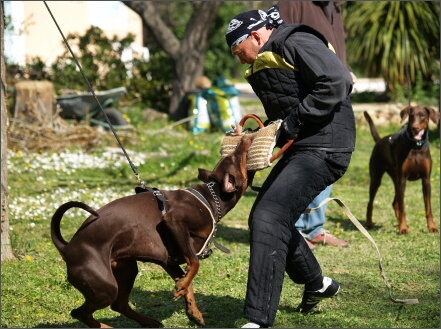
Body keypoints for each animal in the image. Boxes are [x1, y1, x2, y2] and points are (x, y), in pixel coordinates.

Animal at [51, 135, 251, 326]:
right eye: (234, 157)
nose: (246, 135)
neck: (211, 196)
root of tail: (67, 247)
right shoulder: (174, 223)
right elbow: (195, 264)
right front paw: (181, 289)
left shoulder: (168, 259)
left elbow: (188, 280)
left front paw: (193, 311)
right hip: (105, 287)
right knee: (80, 313)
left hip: (126, 269)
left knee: (118, 305)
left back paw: (149, 321)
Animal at [362, 105, 438, 233]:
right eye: (411, 116)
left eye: (422, 116)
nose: (415, 127)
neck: (416, 146)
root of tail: (379, 140)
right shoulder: (403, 180)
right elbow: (403, 207)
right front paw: (403, 229)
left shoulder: (426, 179)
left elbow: (428, 207)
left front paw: (432, 227)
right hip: (377, 178)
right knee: (370, 202)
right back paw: (369, 223)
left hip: (395, 179)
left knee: (395, 203)